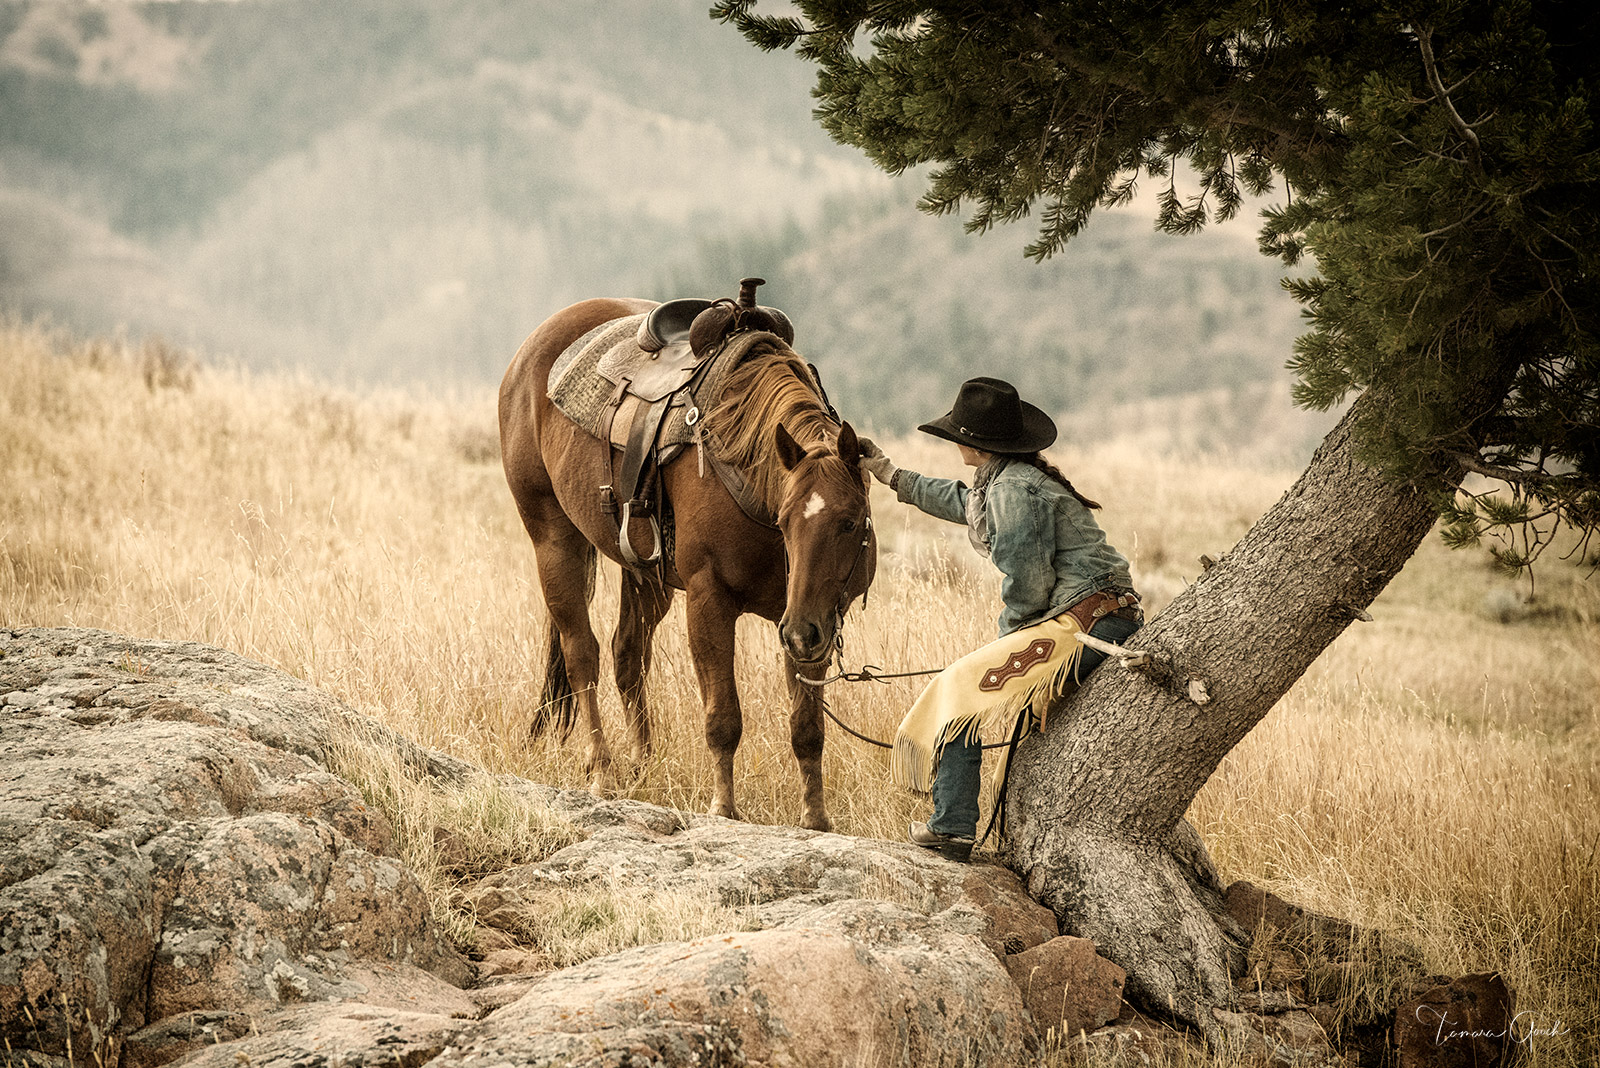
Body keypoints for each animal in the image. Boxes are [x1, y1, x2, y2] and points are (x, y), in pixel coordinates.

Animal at [499, 295, 876, 831]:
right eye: (784, 519)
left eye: (850, 521)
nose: (803, 632)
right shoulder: (708, 600)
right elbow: (723, 717)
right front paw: (724, 809)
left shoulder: (813, 615)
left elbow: (807, 725)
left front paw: (815, 819)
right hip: (554, 541)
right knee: (582, 656)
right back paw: (602, 773)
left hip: (645, 575)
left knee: (627, 655)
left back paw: (641, 764)